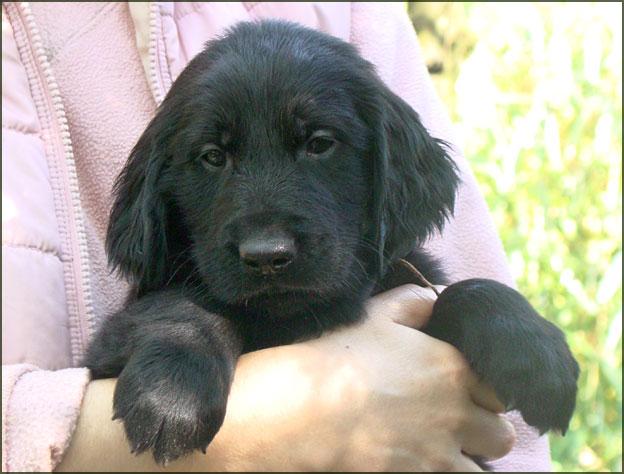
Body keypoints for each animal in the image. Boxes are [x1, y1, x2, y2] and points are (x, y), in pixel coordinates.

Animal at [84, 20, 580, 464]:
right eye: (212, 156)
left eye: (320, 144)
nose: (267, 257)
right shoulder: (109, 345)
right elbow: (185, 303)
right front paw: (171, 392)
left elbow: (460, 289)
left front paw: (533, 351)